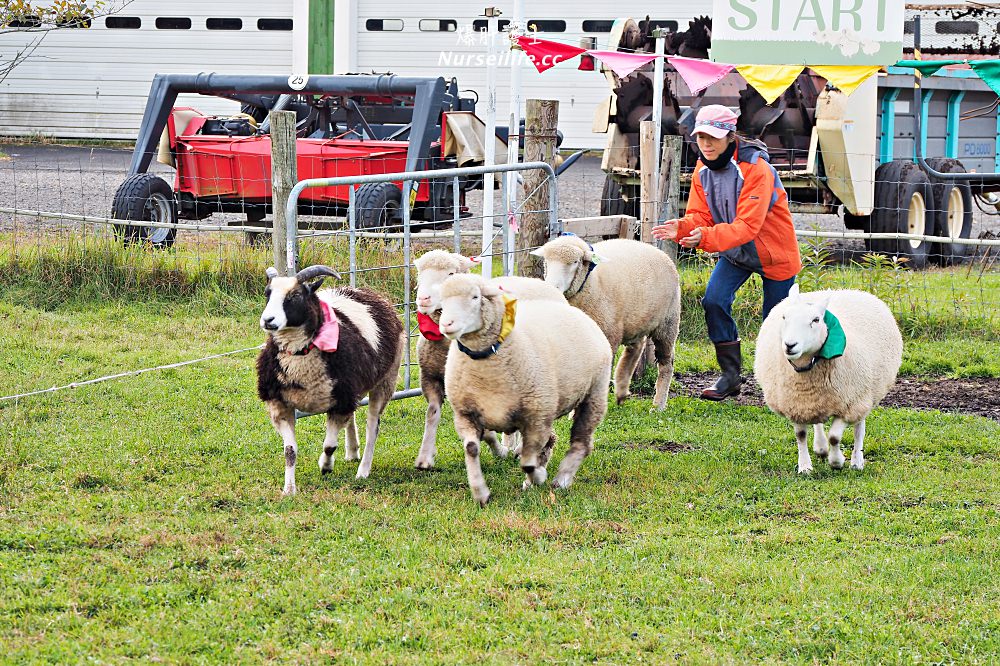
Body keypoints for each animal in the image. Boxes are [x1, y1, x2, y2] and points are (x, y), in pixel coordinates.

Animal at [256, 264, 404, 492]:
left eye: (295, 296)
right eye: (267, 293)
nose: (268, 321)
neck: (300, 356)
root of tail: (364, 292)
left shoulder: (339, 404)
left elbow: (329, 445)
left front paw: (325, 467)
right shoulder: (279, 404)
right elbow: (290, 451)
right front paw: (289, 489)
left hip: (386, 380)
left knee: (373, 427)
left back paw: (363, 470)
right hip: (352, 390)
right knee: (354, 415)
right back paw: (352, 452)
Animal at [414, 249, 568, 466]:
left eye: (451, 273)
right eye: (419, 274)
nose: (423, 298)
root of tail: (539, 282)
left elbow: (486, 431)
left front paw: (499, 450)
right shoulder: (430, 377)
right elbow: (432, 414)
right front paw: (426, 456)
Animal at [528, 233, 684, 410]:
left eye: (575, 262)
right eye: (547, 260)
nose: (551, 286)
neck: (591, 281)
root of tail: (658, 251)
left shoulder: (609, 334)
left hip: (668, 323)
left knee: (666, 363)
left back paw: (658, 405)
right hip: (634, 321)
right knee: (635, 349)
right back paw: (621, 389)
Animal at [752, 282, 904, 474]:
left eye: (816, 320)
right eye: (784, 317)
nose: (789, 345)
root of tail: (851, 291)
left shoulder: (849, 404)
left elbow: (834, 437)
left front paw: (837, 461)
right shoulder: (796, 404)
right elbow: (801, 435)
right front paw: (805, 466)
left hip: (865, 394)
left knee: (859, 428)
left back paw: (857, 461)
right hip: (821, 401)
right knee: (818, 421)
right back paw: (821, 447)